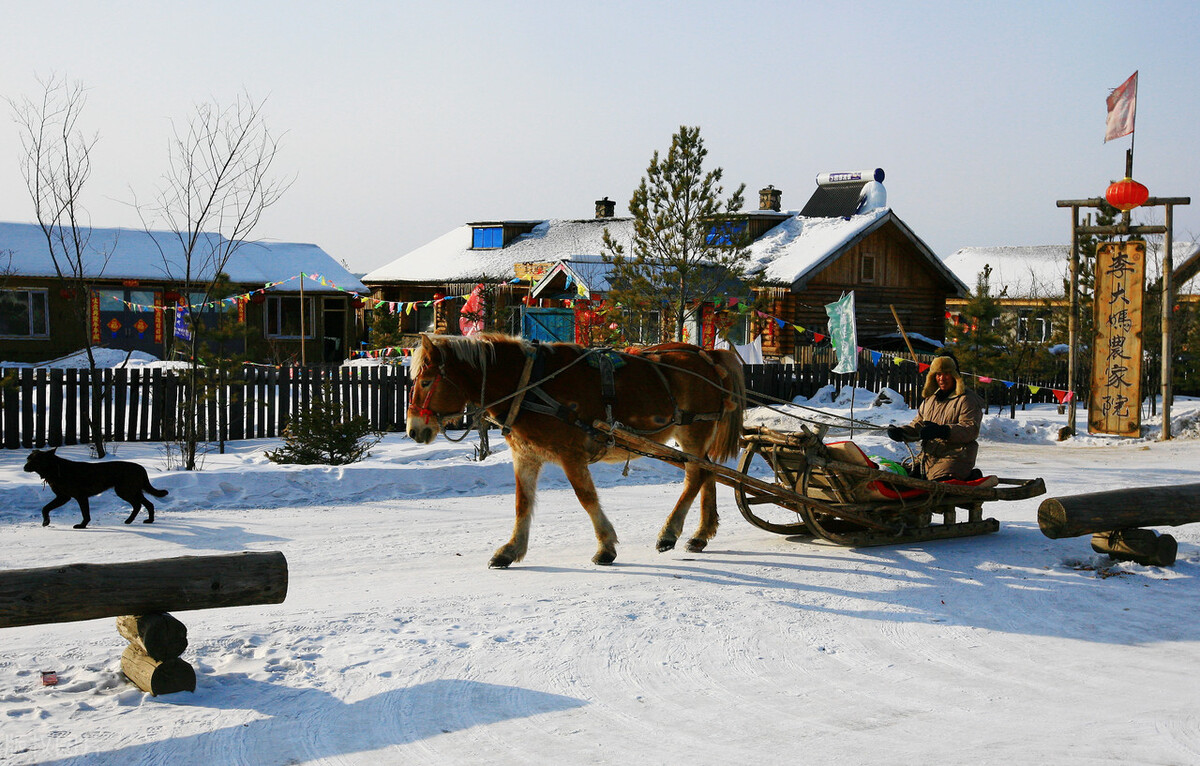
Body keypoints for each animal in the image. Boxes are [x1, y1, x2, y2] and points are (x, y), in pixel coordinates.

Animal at [22, 446, 166, 530]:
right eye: (28, 458)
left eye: (35, 460)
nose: (24, 467)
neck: (55, 469)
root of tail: (141, 468)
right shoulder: (63, 497)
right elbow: (45, 508)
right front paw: (46, 522)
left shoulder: (78, 497)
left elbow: (85, 513)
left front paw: (82, 525)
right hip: (133, 491)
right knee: (148, 504)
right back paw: (147, 520)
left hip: (125, 491)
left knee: (138, 505)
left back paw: (130, 520)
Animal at [408, 336, 744, 571]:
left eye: (426, 381)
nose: (413, 430)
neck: (528, 384)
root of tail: (708, 356)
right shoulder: (525, 456)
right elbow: (522, 504)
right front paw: (511, 550)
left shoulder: (570, 454)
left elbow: (587, 498)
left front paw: (606, 547)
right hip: (695, 437)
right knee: (707, 472)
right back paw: (700, 534)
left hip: (693, 430)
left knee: (695, 476)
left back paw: (669, 533)